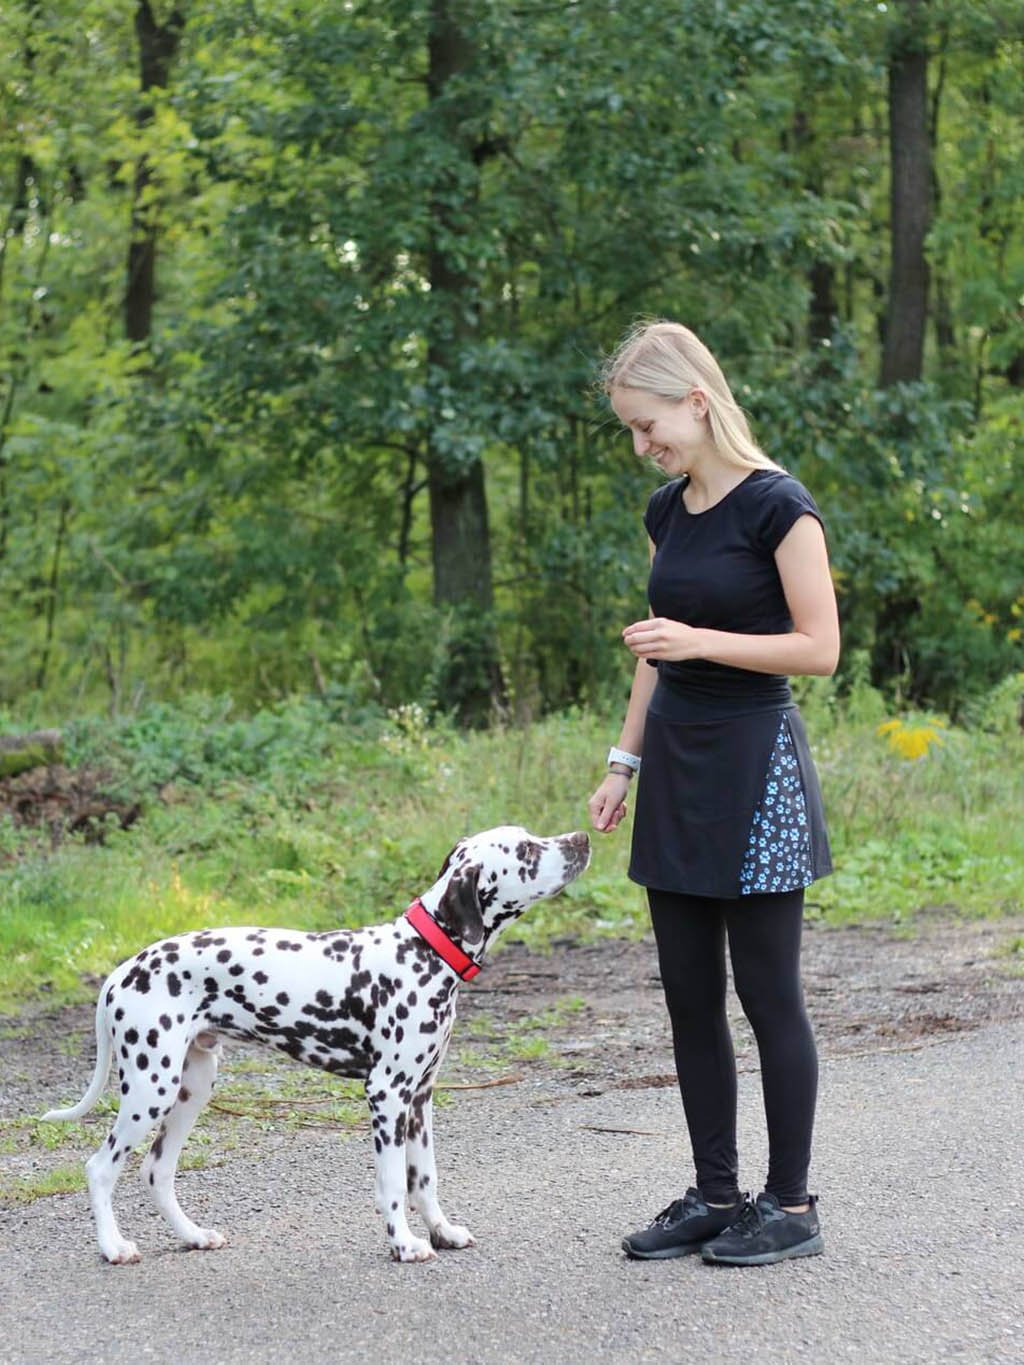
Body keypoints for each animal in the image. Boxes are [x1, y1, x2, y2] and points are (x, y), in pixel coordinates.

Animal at [46, 824, 592, 1261]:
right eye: (526, 849)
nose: (583, 838)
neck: (423, 952)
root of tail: (122, 971)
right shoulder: (387, 1095)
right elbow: (393, 1183)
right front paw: (403, 1244)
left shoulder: (420, 1098)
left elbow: (424, 1178)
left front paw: (442, 1232)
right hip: (150, 1089)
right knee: (99, 1169)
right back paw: (113, 1247)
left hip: (191, 1088)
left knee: (157, 1171)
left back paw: (194, 1235)